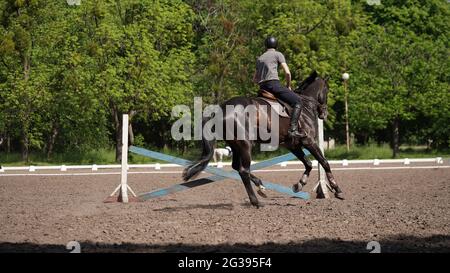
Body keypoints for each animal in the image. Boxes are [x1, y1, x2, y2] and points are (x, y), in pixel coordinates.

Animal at [181, 71, 342, 207]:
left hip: (236, 145)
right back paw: (256, 201)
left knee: (236, 167)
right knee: (243, 170)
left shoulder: (293, 145)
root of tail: (221, 109)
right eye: (327, 90)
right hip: (245, 144)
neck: (306, 105)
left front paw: (299, 185)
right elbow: (324, 162)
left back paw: (260, 186)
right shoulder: (309, 141)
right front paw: (337, 189)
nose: (324, 114)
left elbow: (308, 163)